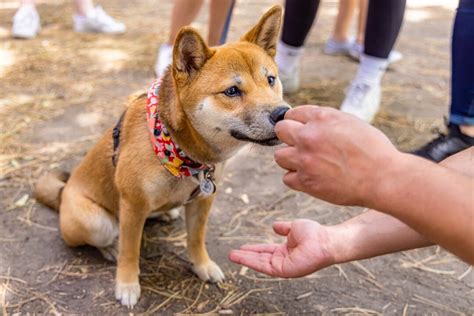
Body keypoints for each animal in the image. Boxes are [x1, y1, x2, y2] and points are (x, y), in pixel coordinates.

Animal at [34, 4, 288, 306]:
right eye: (232, 91)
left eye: (270, 80)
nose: (283, 113)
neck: (181, 153)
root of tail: (63, 194)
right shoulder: (132, 206)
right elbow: (130, 251)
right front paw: (127, 284)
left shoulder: (203, 201)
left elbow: (196, 239)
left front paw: (202, 266)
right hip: (96, 221)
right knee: (107, 236)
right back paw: (110, 248)